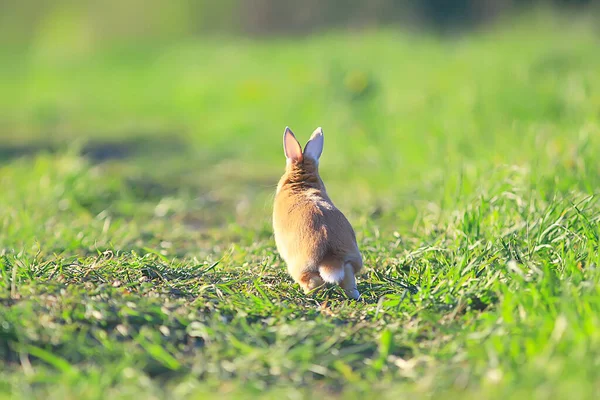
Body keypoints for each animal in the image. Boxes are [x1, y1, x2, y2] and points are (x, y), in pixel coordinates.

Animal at [274, 126, 366, 298]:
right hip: (349, 263)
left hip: (302, 267)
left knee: (312, 282)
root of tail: (331, 256)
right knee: (349, 280)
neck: (301, 183)